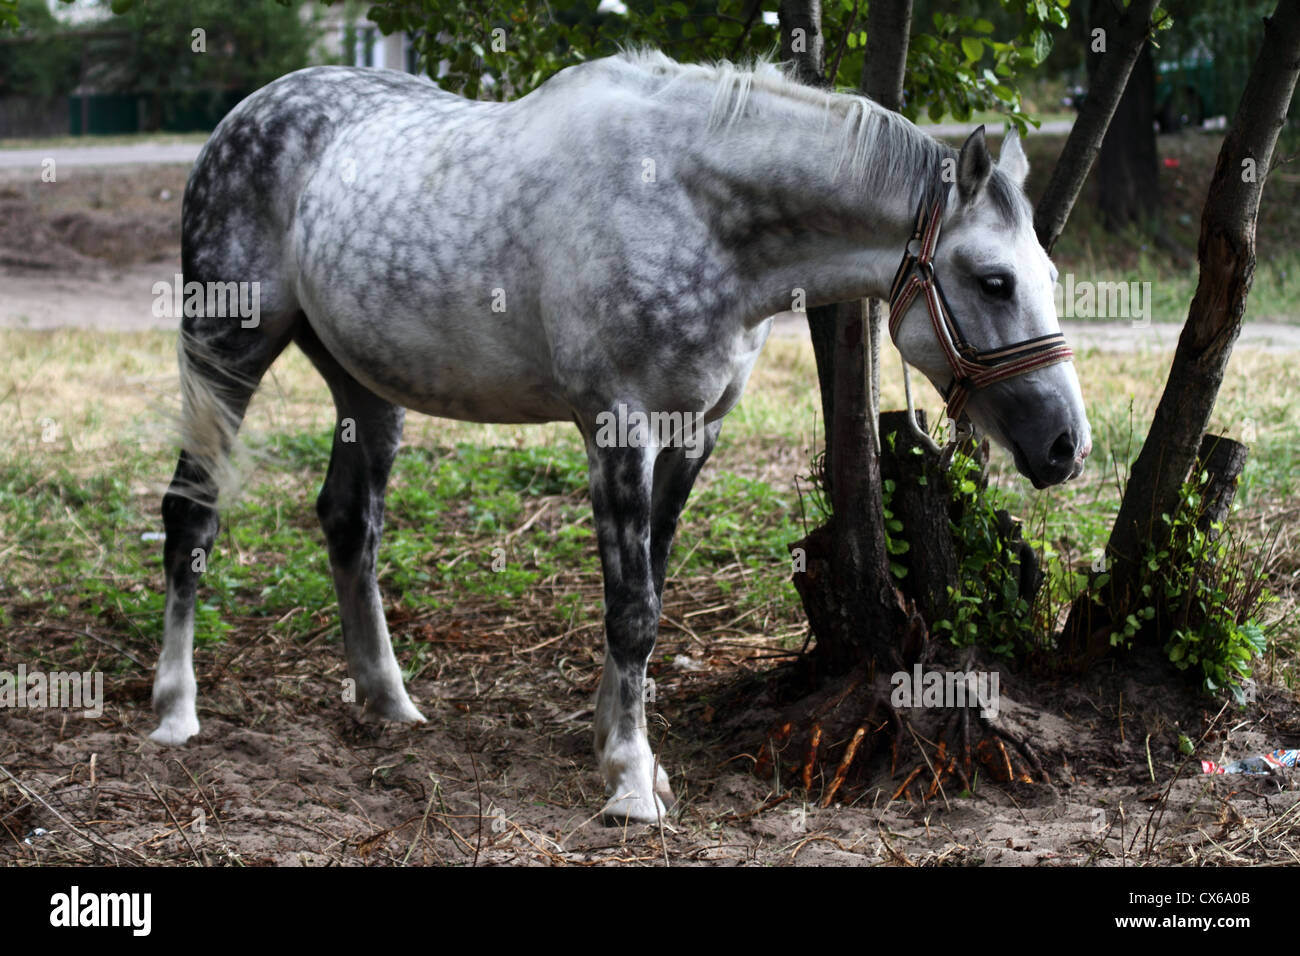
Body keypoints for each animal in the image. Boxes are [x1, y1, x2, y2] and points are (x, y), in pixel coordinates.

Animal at [149, 52, 1086, 827]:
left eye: (1048, 275)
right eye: (992, 281)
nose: (1065, 445)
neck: (693, 208)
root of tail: (245, 114)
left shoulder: (695, 429)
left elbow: (651, 591)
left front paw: (615, 744)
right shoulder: (618, 426)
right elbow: (631, 608)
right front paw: (633, 782)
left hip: (366, 388)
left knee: (350, 523)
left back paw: (388, 701)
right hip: (227, 350)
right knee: (191, 513)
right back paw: (175, 710)